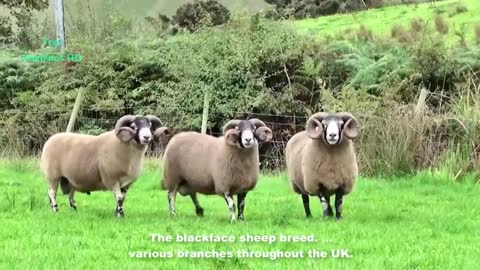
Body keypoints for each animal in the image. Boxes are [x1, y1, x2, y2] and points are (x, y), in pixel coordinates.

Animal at [40, 114, 170, 217]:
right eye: (133, 126)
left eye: (150, 126)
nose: (147, 137)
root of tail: (50, 139)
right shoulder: (111, 179)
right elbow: (119, 198)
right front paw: (120, 215)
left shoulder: (126, 183)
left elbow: (122, 198)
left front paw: (119, 212)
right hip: (53, 176)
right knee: (52, 193)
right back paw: (56, 210)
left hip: (70, 179)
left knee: (70, 195)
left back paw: (74, 210)